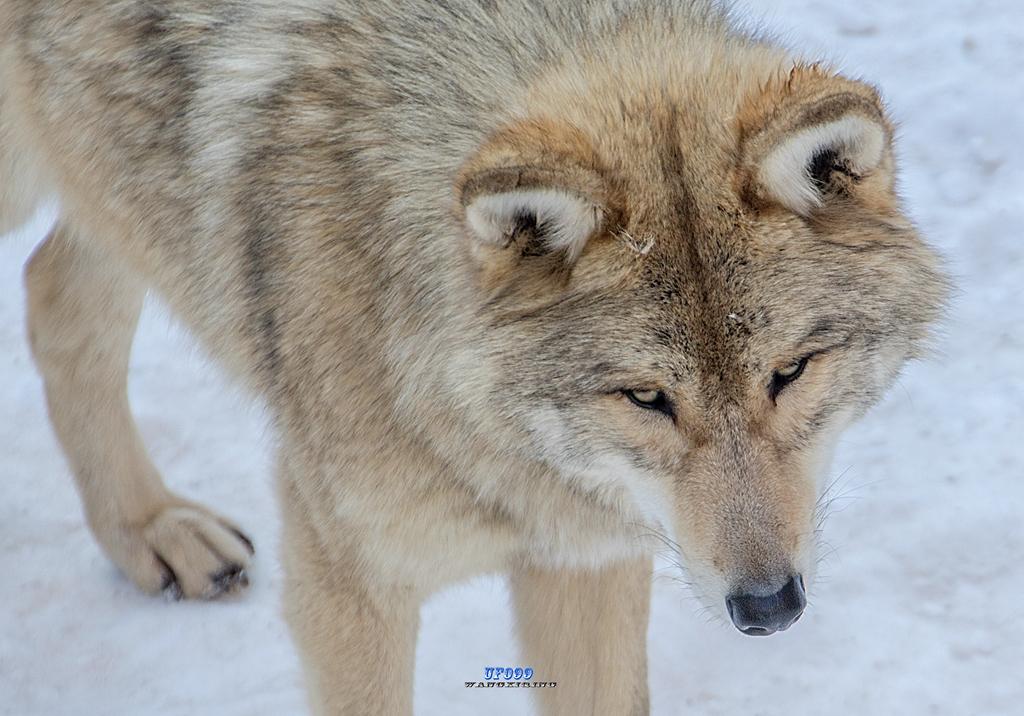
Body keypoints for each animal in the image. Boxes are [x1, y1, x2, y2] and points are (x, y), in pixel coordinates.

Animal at [0, 0, 946, 712]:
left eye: (790, 372)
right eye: (646, 398)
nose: (768, 608)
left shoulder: (585, 561)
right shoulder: (349, 584)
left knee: (52, 293)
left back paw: (151, 534)